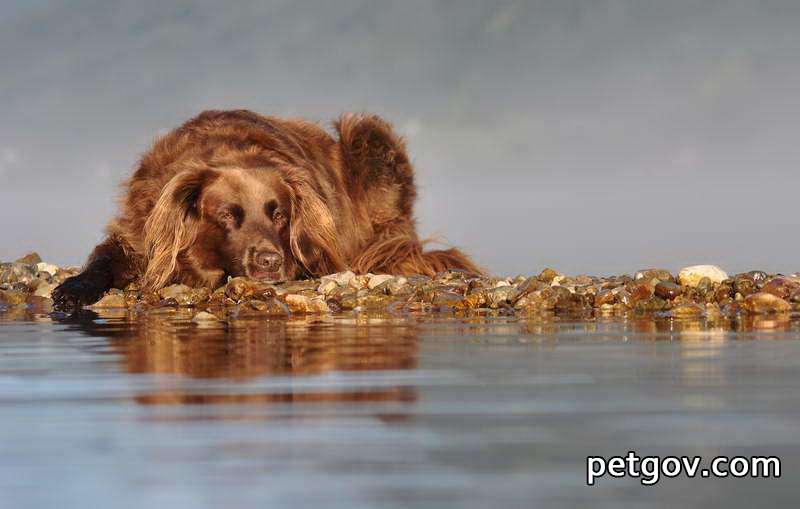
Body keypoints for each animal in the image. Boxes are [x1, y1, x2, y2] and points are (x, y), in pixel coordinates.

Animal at [56, 110, 482, 310]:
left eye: (279, 215)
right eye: (227, 215)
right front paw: (73, 289)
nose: (269, 263)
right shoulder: (138, 231)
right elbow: (104, 259)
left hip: (368, 137)